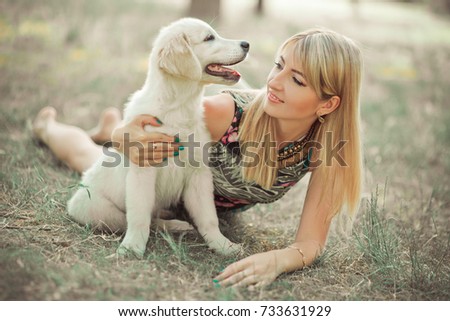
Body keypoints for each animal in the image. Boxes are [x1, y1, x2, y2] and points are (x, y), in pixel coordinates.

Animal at [68, 18, 248, 258]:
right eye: (209, 38)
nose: (247, 44)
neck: (178, 107)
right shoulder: (143, 169)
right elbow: (139, 217)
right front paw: (132, 247)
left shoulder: (198, 174)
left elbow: (208, 217)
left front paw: (222, 245)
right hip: (92, 205)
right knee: (138, 220)